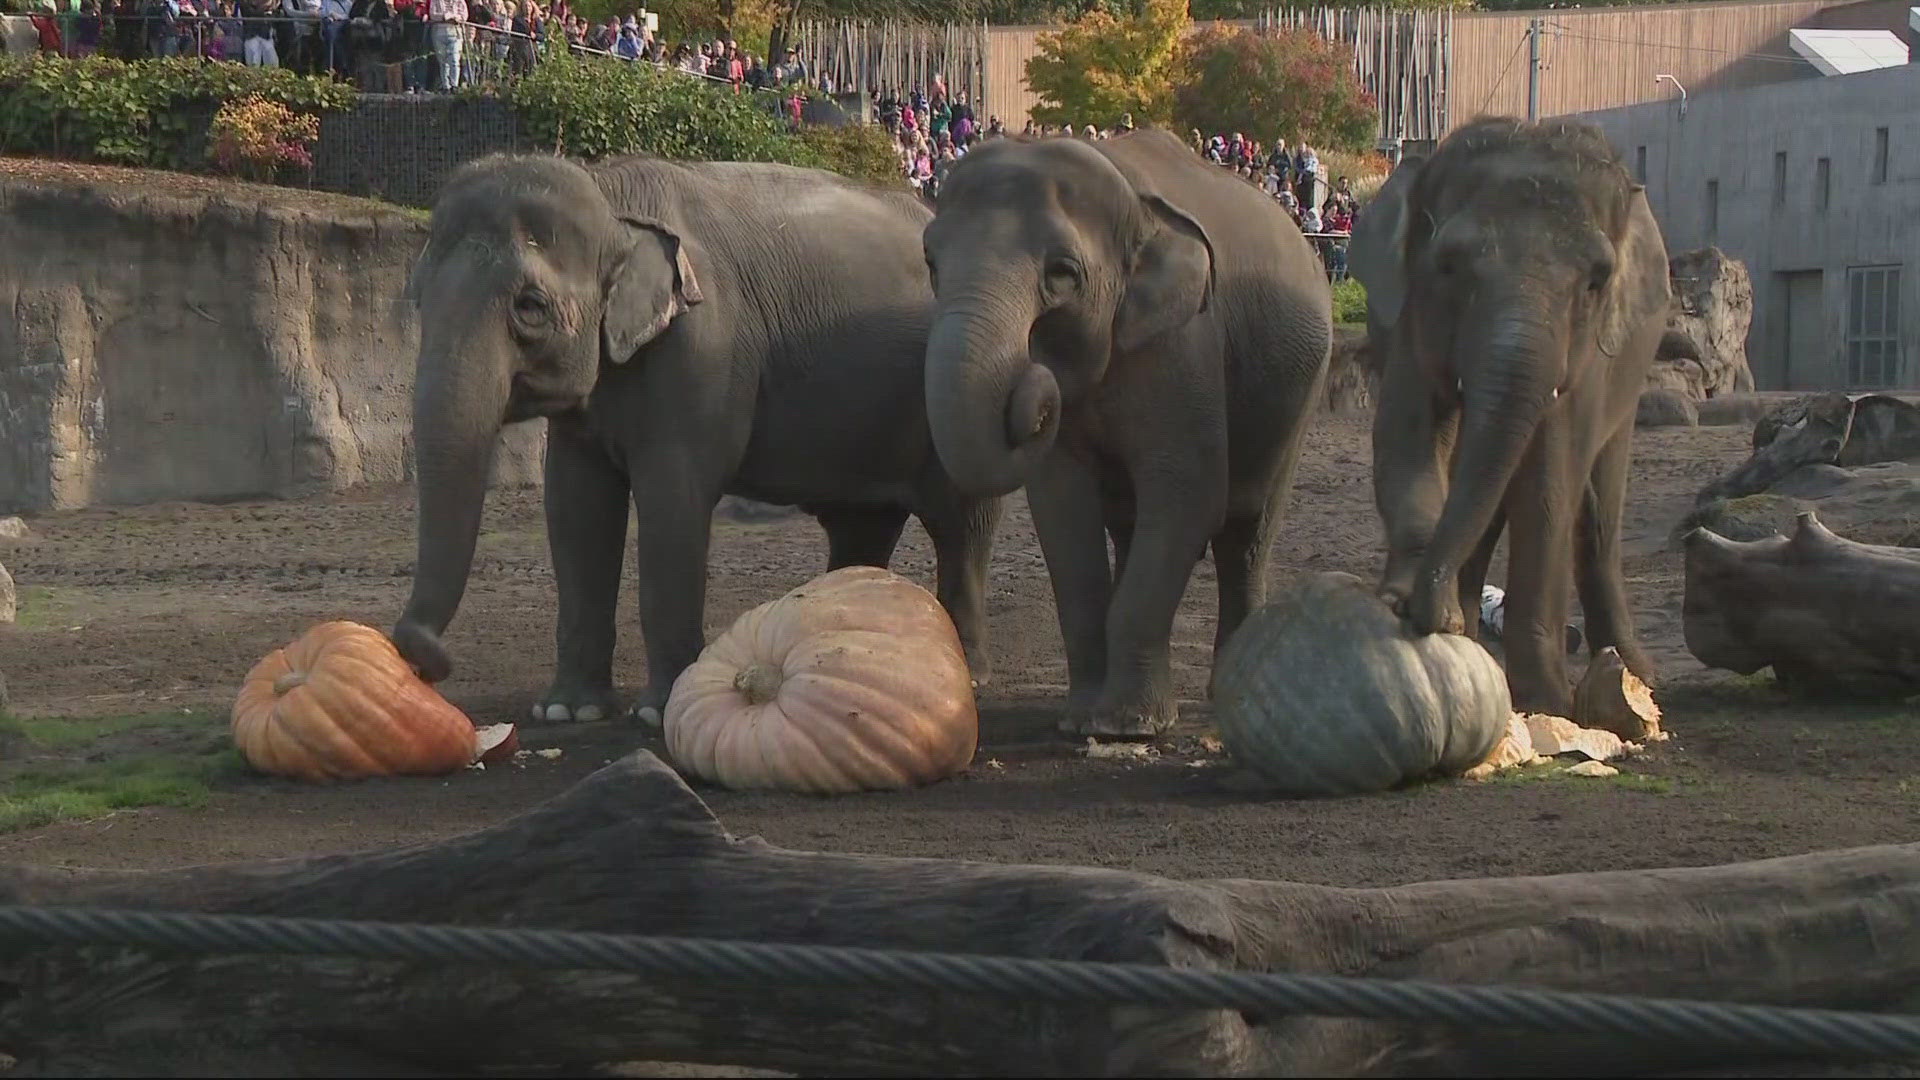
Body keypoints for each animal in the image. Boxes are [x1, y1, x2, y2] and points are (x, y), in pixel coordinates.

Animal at [382, 148, 998, 722]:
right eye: (419, 299)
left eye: (529, 307)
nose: (424, 657)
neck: (610, 198)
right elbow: (577, 509)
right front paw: (566, 712)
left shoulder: (703, 350)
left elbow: (672, 501)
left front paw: (656, 713)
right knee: (861, 526)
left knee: (961, 525)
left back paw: (965, 675)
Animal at [921, 123, 1328, 730]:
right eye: (931, 262)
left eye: (1063, 274)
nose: (1034, 378)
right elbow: (1063, 512)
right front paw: (1080, 719)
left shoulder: (1185, 346)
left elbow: (1187, 495)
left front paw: (1125, 725)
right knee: (1137, 528)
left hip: (1299, 398)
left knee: (1246, 534)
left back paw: (1233, 690)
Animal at [1344, 117, 1674, 714]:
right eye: (1448, 265)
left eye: (1596, 280)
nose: (1428, 615)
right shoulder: (1407, 314)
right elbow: (1407, 434)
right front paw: (1414, 605)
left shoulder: (1589, 357)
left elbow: (1548, 482)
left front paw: (1548, 702)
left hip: (1631, 375)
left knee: (1596, 509)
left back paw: (1636, 673)